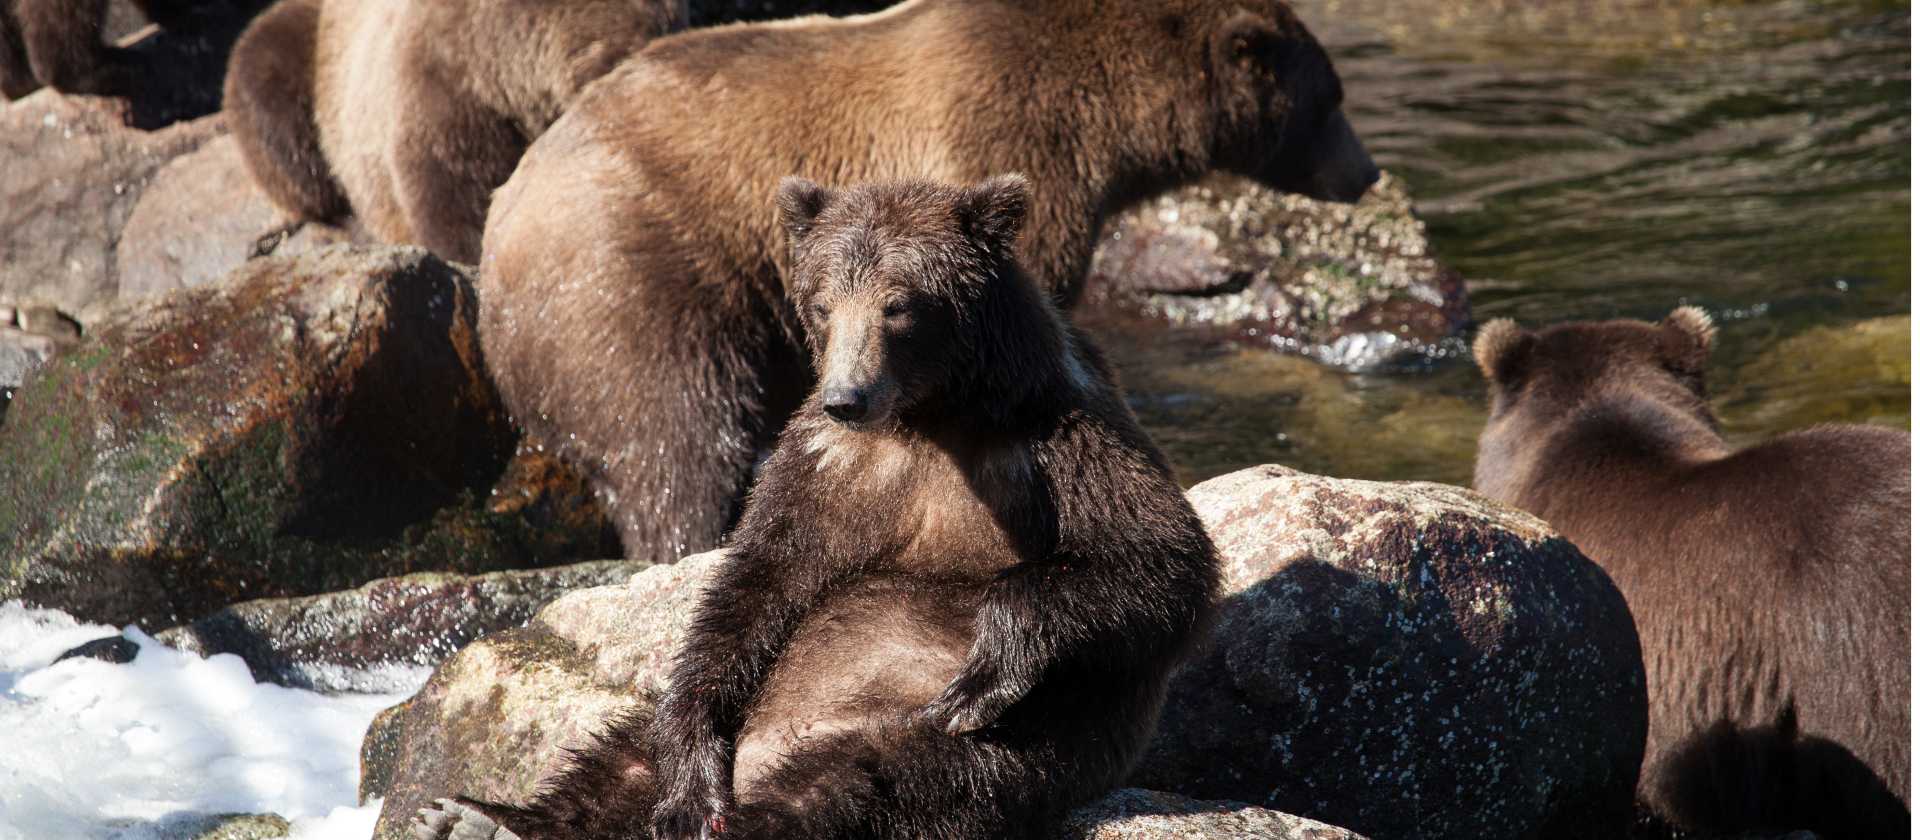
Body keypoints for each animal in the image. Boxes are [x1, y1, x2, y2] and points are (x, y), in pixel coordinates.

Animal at [410, 175, 1222, 840]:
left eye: (899, 304)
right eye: (825, 302)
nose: (847, 396)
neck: (932, 418)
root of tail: (765, 758)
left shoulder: (1059, 439)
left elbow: (1159, 563)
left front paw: (992, 658)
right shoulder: (822, 466)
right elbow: (755, 583)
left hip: (936, 740)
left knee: (866, 786)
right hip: (745, 714)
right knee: (630, 750)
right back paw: (482, 816)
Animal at [477, 0, 1379, 566]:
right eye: (1330, 99)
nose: (1367, 171)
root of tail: (497, 234)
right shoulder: (1006, 137)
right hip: (641, 285)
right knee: (676, 439)